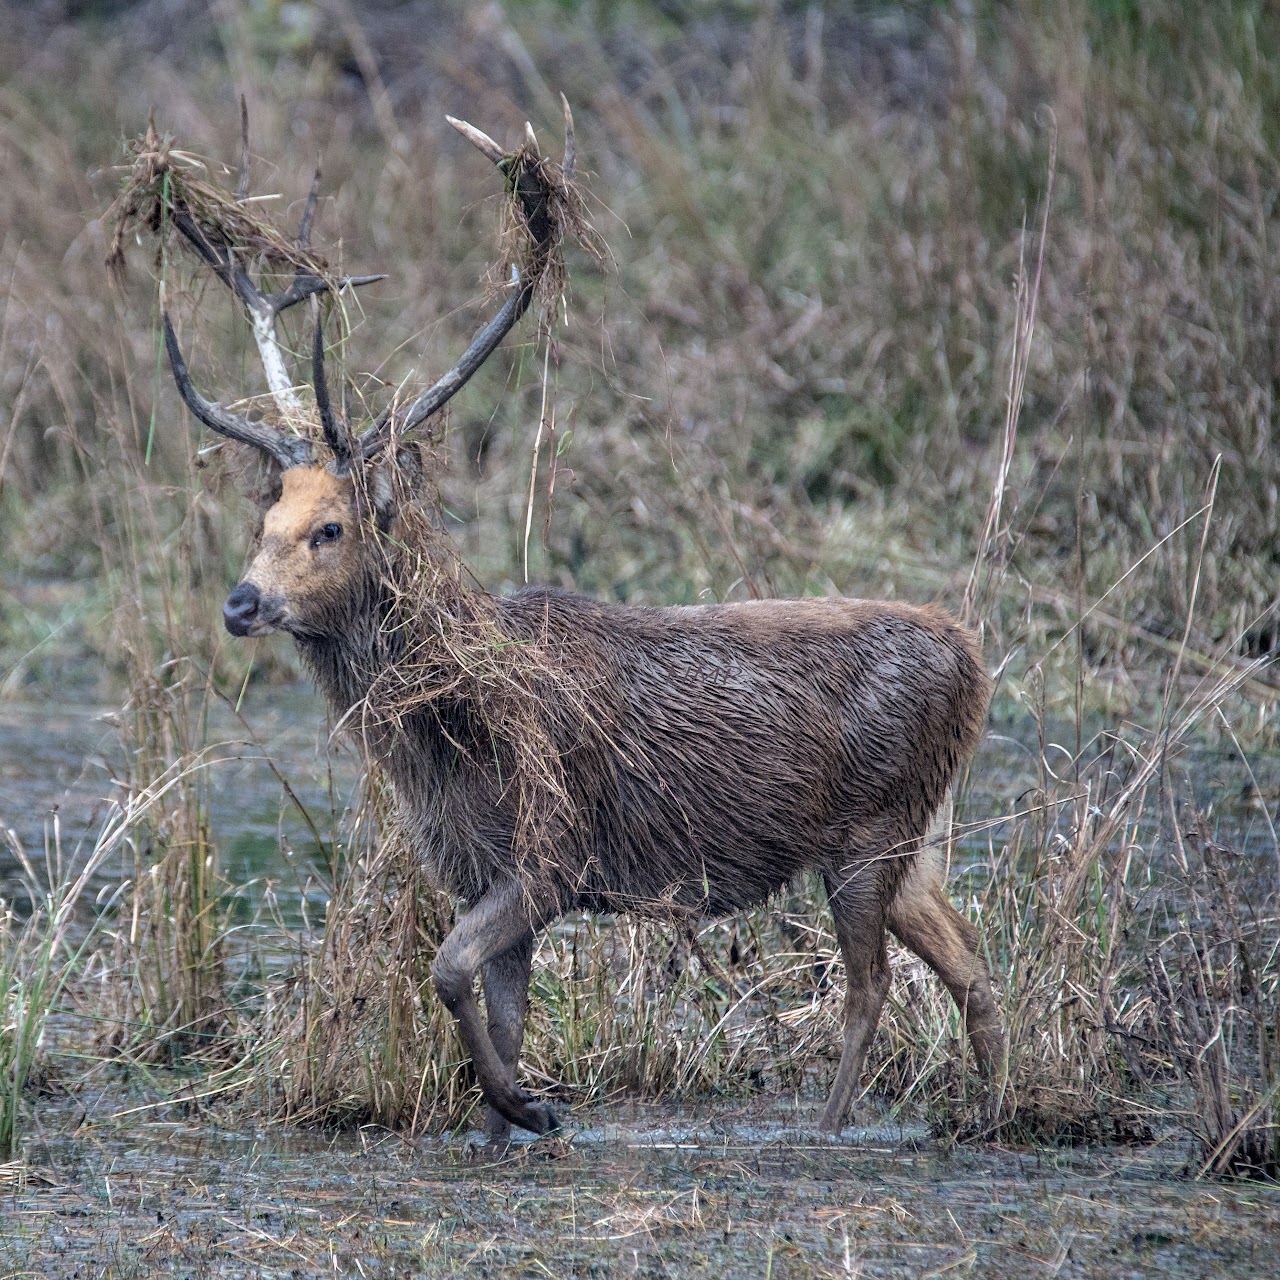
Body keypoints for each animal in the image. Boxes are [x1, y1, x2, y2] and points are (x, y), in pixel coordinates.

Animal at [139, 103, 1004, 1141]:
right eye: (263, 523)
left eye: (330, 528)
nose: (241, 603)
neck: (443, 745)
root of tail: (974, 663)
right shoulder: (478, 868)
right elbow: (499, 1012)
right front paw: (503, 1117)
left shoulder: (551, 853)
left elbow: (449, 970)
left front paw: (533, 1108)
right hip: (911, 832)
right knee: (971, 962)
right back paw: (1003, 1105)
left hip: (868, 828)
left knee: (871, 983)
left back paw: (830, 1126)